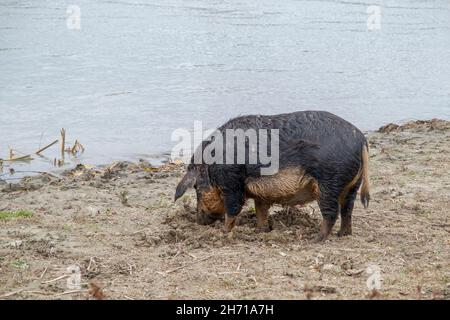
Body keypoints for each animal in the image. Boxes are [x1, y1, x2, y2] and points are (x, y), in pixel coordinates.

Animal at [174, 110, 370, 242]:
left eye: (196, 188)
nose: (199, 220)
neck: (210, 166)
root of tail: (360, 139)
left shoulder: (231, 182)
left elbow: (233, 208)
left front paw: (224, 232)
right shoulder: (259, 193)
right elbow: (261, 210)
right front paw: (260, 230)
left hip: (329, 181)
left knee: (332, 213)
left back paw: (315, 239)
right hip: (352, 184)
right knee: (347, 209)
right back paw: (343, 234)